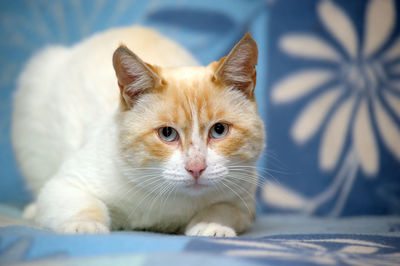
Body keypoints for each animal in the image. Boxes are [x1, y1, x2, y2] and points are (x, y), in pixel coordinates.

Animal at [11, 25, 266, 237]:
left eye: (219, 130)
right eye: (167, 133)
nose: (196, 168)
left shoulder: (243, 203)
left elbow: (220, 209)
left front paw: (212, 226)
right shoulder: (66, 185)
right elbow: (87, 206)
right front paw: (85, 226)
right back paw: (33, 210)